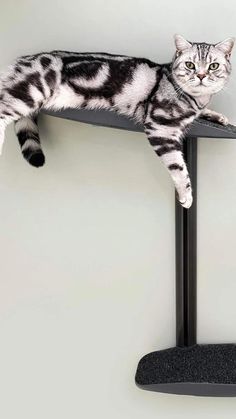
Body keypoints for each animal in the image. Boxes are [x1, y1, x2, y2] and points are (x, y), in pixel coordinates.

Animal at [0, 34, 233, 208]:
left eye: (213, 66)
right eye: (190, 65)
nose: (201, 75)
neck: (196, 98)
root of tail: (24, 59)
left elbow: (203, 113)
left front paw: (217, 115)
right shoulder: (161, 128)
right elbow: (178, 167)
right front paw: (186, 196)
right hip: (31, 90)